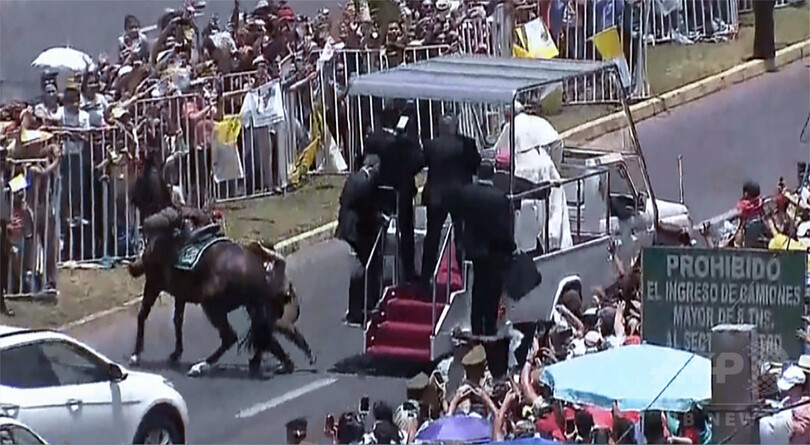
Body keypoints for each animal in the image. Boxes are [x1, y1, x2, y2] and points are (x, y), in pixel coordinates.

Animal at [127, 150, 311, 377]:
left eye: (138, 179)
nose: (130, 197)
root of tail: (263, 270)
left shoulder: (154, 283)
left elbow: (142, 315)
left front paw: (136, 354)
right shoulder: (180, 293)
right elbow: (177, 321)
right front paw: (176, 352)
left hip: (213, 306)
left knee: (231, 337)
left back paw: (202, 365)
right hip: (252, 308)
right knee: (264, 335)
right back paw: (276, 362)